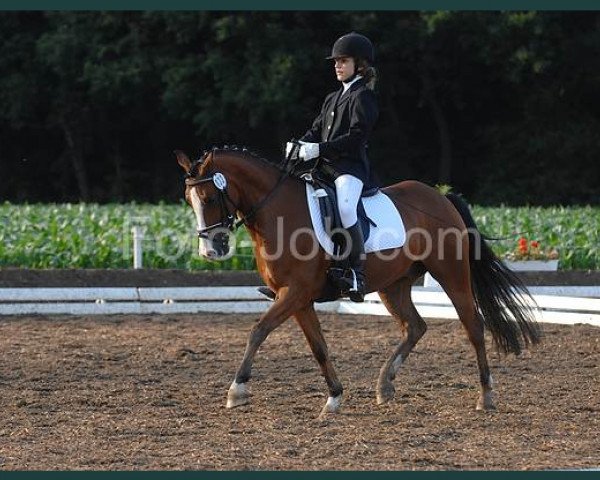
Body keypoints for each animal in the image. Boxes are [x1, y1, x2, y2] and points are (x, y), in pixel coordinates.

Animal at [173, 146, 540, 416]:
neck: (278, 213)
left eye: (209, 198)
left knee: (473, 325)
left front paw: (237, 391)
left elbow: (258, 330)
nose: (211, 249)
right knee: (415, 326)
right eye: (189, 201)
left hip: (451, 273)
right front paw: (334, 398)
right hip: (394, 285)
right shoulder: (297, 299)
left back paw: (486, 396)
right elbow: (318, 348)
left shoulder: (295, 293)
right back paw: (385, 385)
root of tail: (440, 197)